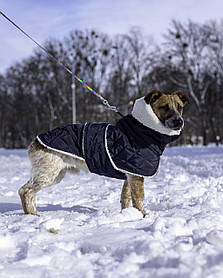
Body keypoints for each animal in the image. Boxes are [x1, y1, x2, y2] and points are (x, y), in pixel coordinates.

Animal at [19, 90, 189, 216]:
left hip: (54, 174)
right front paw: (143, 216)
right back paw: (33, 215)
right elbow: (139, 199)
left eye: (179, 107)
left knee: (26, 190)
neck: (143, 131)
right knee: (26, 191)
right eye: (164, 107)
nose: (179, 121)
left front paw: (127, 215)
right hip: (48, 173)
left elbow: (125, 198)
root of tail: (34, 143)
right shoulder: (136, 176)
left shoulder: (130, 174)